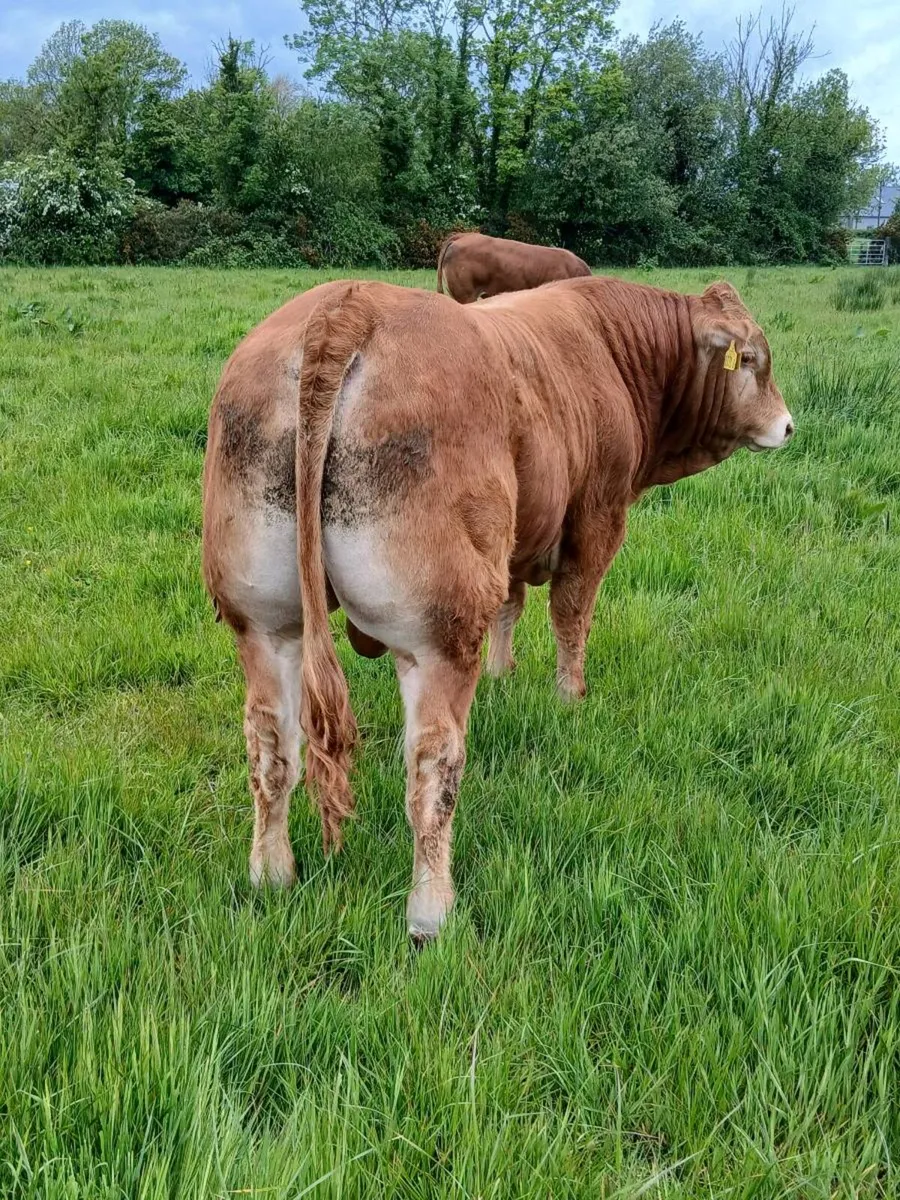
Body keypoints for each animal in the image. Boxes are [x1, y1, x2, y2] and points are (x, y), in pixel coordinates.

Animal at [202, 275, 794, 941]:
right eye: (753, 359)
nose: (788, 426)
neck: (612, 350)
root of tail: (349, 304)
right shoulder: (597, 518)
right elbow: (572, 614)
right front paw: (569, 697)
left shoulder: (511, 542)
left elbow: (512, 603)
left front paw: (503, 674)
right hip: (438, 632)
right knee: (432, 763)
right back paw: (431, 911)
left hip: (263, 621)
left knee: (270, 744)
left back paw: (271, 874)